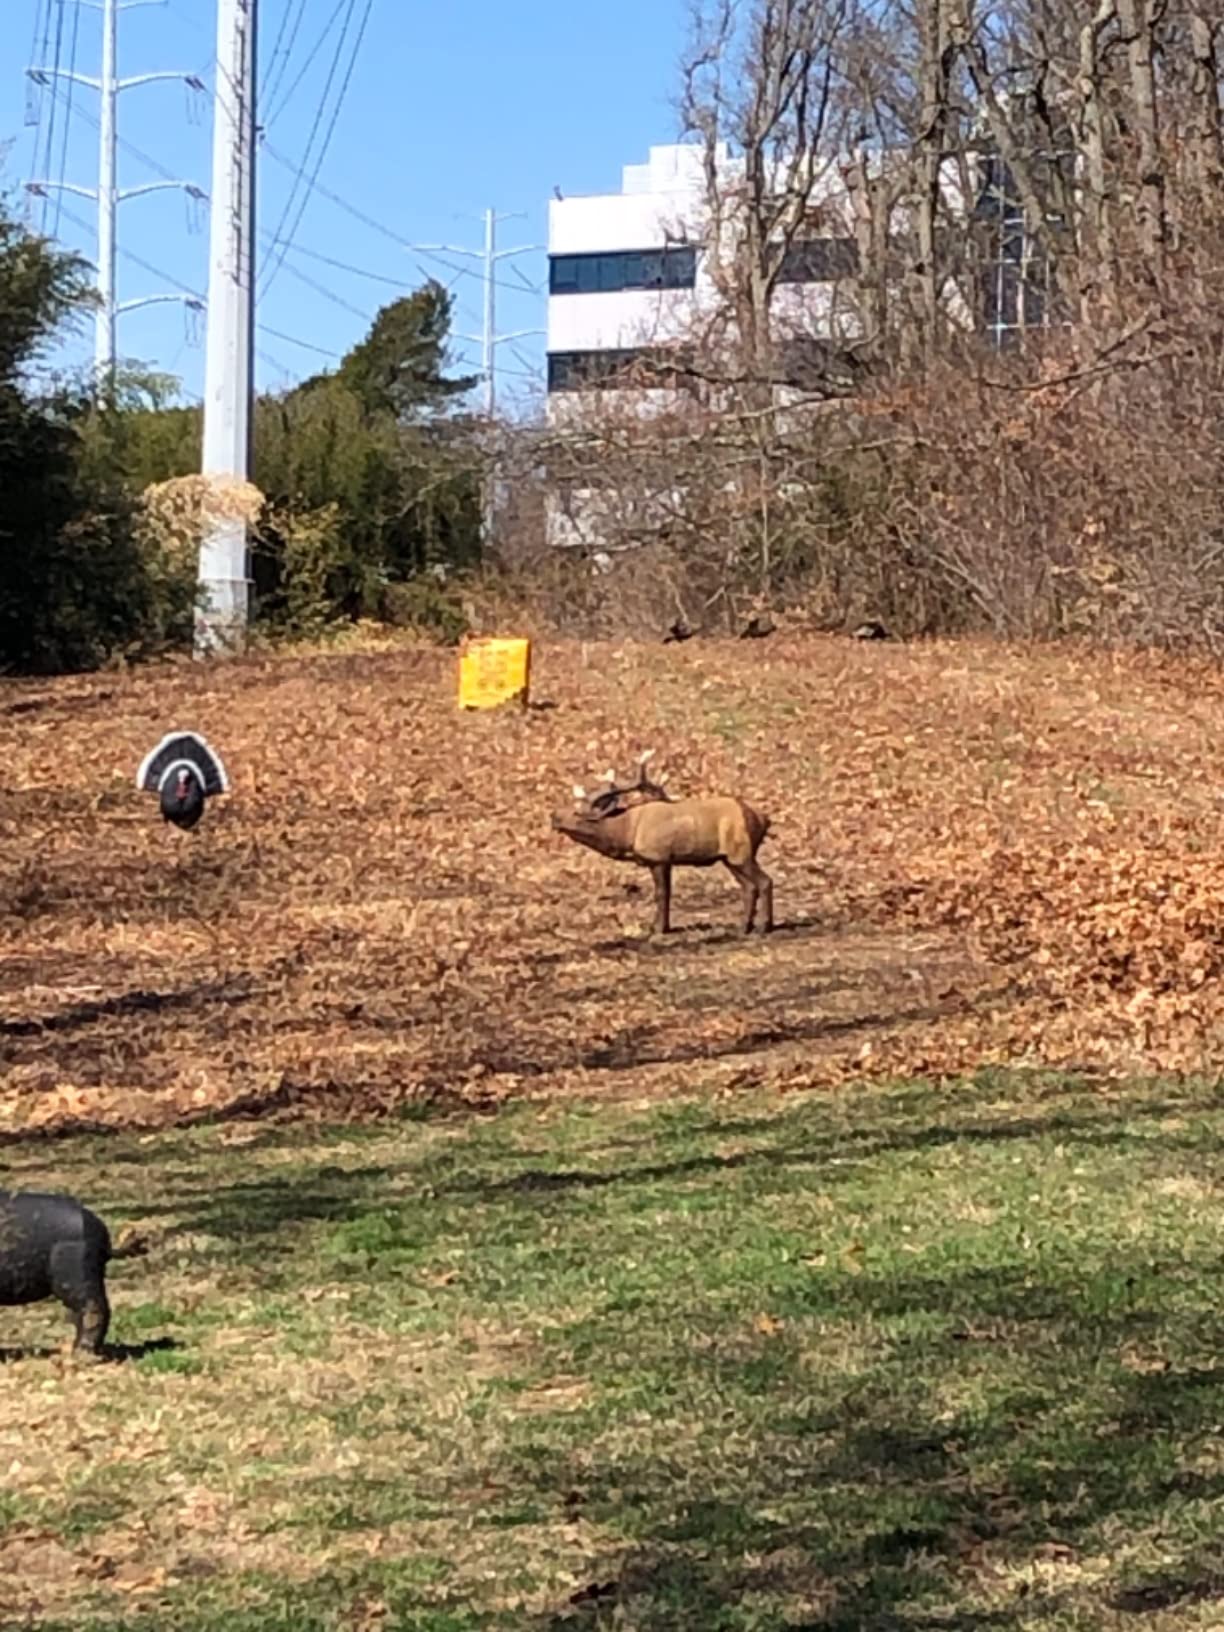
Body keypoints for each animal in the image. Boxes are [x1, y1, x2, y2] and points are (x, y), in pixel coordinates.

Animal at [551, 752, 775, 937]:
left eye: (577, 814)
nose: (553, 816)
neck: (627, 833)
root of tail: (763, 819)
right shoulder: (666, 860)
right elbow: (667, 892)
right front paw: (662, 926)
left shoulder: (658, 857)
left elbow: (661, 893)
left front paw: (658, 929)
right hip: (730, 858)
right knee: (749, 887)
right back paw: (744, 927)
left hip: (741, 852)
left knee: (765, 881)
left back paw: (764, 926)